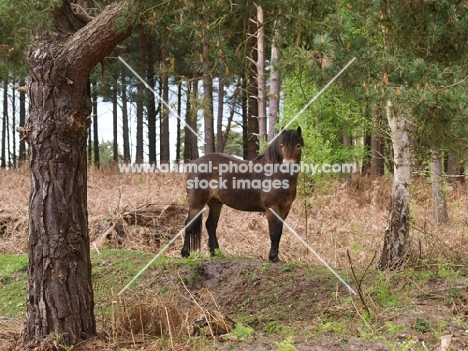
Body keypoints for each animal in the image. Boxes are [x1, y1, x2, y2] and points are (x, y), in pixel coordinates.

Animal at [181, 128, 306, 262]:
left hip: (215, 203)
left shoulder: (284, 209)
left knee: (211, 225)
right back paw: (185, 253)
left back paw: (216, 253)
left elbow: (279, 232)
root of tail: (194, 163)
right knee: (189, 224)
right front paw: (273, 257)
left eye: (298, 145)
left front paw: (275, 257)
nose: (288, 166)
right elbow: (274, 232)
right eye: (281, 146)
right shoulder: (272, 208)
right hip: (196, 204)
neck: (275, 175)